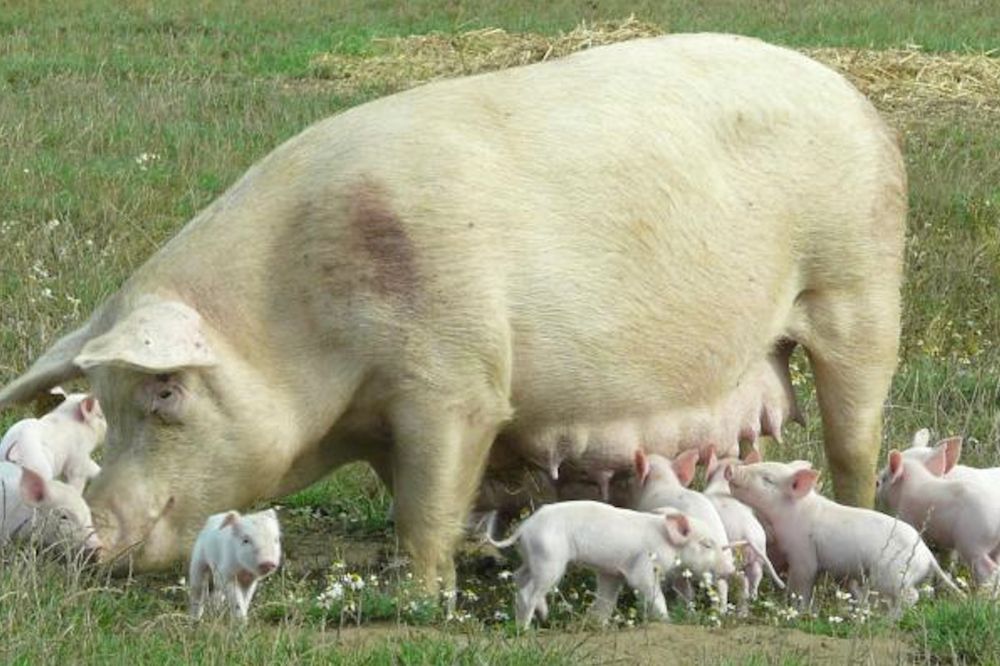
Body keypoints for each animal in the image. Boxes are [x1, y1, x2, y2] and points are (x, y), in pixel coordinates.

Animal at [0, 35, 908, 592]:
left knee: (854, 435)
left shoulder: (456, 380)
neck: (300, 323)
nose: (92, 533)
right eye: (104, 403)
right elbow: (417, 492)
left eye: (165, 394)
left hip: (859, 288)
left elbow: (427, 497)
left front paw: (423, 591)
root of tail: (857, 100)